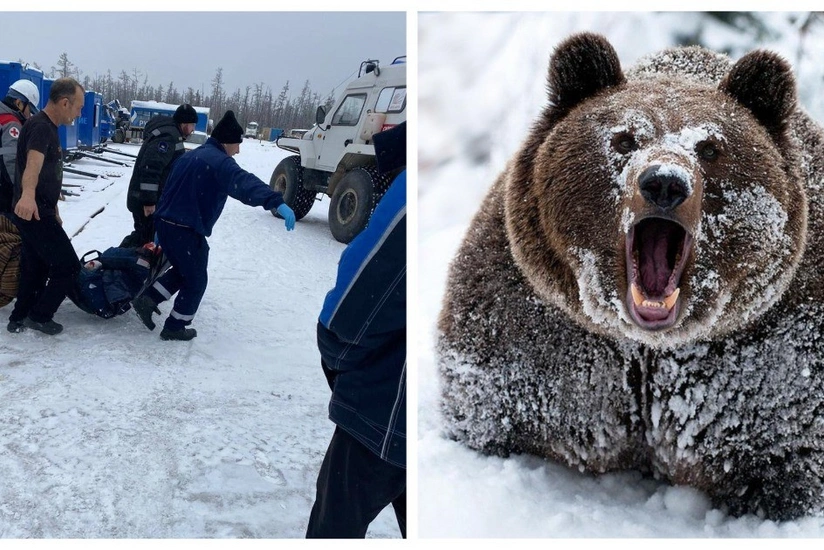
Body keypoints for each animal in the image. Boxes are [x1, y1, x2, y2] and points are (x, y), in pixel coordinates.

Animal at [437, 32, 824, 521]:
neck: (647, 348)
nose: (665, 182)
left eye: (710, 148)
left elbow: (780, 445)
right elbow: (493, 410)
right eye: (624, 139)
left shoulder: (770, 351)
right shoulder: (534, 331)